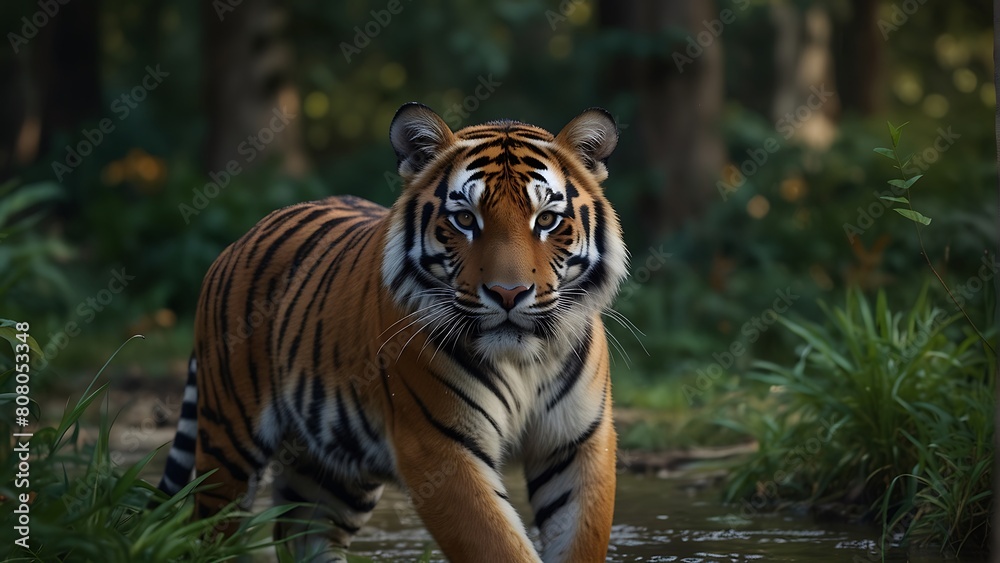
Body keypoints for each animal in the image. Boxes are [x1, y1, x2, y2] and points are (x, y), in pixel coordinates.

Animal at [156, 102, 629, 562]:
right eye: (464, 218)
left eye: (546, 219)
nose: (508, 293)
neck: (522, 362)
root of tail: (241, 238)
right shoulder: (440, 446)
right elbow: (498, 545)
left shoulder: (577, 444)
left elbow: (581, 539)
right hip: (228, 443)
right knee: (208, 532)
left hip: (330, 470)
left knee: (302, 534)